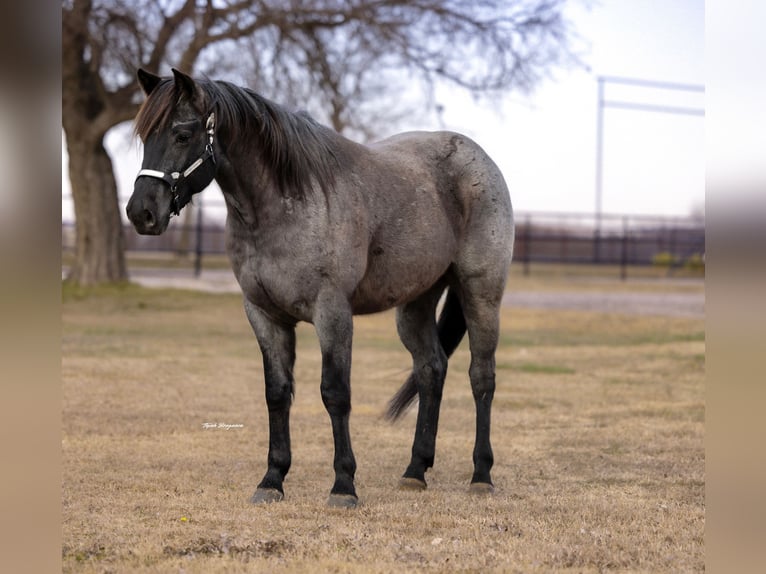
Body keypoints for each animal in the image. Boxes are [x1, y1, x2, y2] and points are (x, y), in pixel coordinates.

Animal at [126, 68, 514, 508]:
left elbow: (335, 393)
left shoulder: (332, 313)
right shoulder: (264, 315)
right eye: (146, 137)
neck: (283, 204)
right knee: (431, 370)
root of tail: (479, 159)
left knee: (481, 376)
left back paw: (481, 475)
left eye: (182, 134)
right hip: (415, 304)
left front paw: (343, 485)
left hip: (481, 294)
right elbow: (277, 393)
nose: (141, 213)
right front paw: (272, 480)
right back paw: (415, 471)